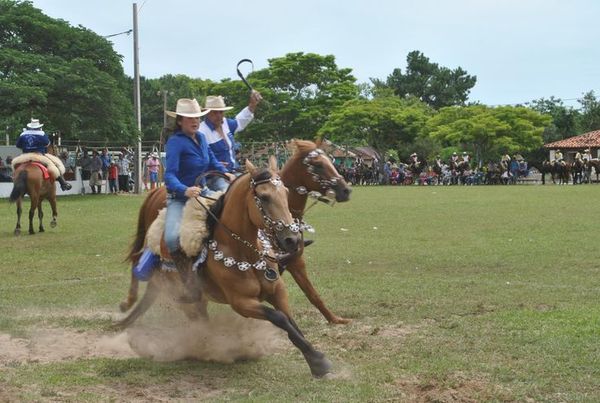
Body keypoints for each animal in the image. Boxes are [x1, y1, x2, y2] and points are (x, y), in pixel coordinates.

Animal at [117, 139, 352, 326]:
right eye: (318, 165)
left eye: (331, 160)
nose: (346, 190)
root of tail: (155, 192)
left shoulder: (294, 261)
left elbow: (312, 293)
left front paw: (335, 319)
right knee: (138, 260)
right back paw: (127, 302)